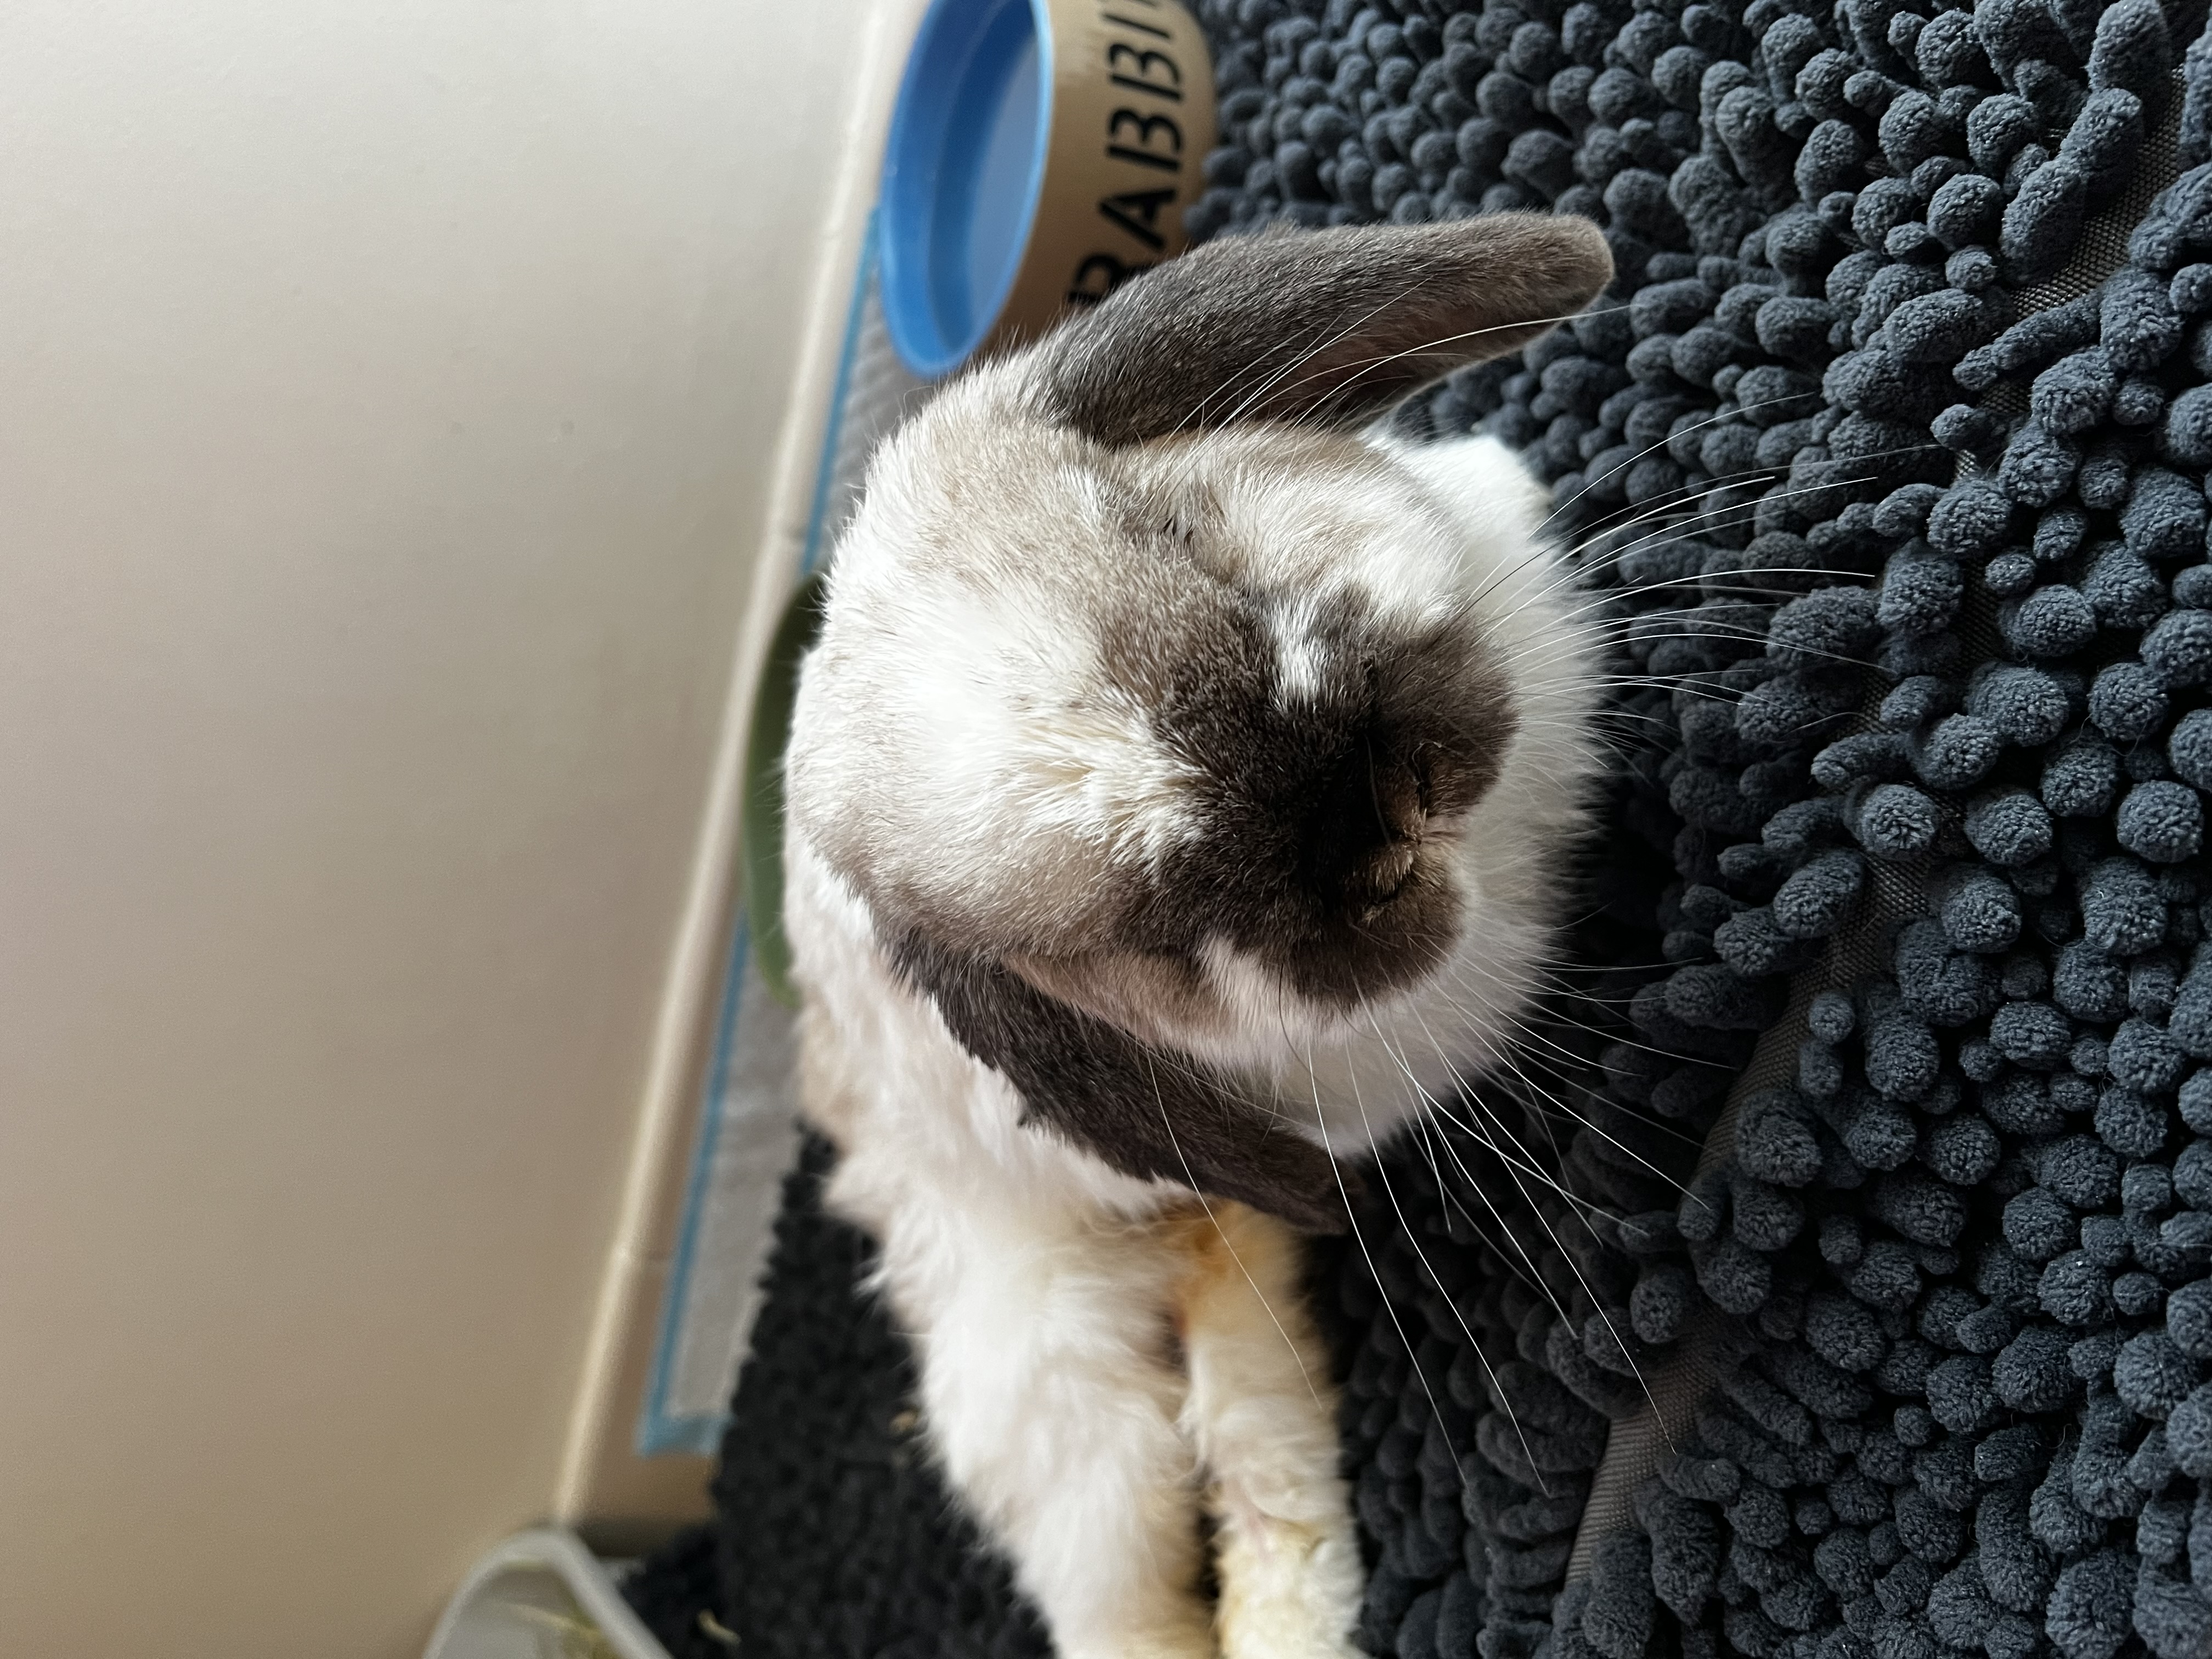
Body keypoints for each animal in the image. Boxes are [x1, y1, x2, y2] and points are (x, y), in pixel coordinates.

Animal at [781, 213, 1615, 1659]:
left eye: (1187, 544)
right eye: (1151, 928)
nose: (1369, 821)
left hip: (1242, 1334)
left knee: (1261, 1473)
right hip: (1074, 1437)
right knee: (1128, 1597)